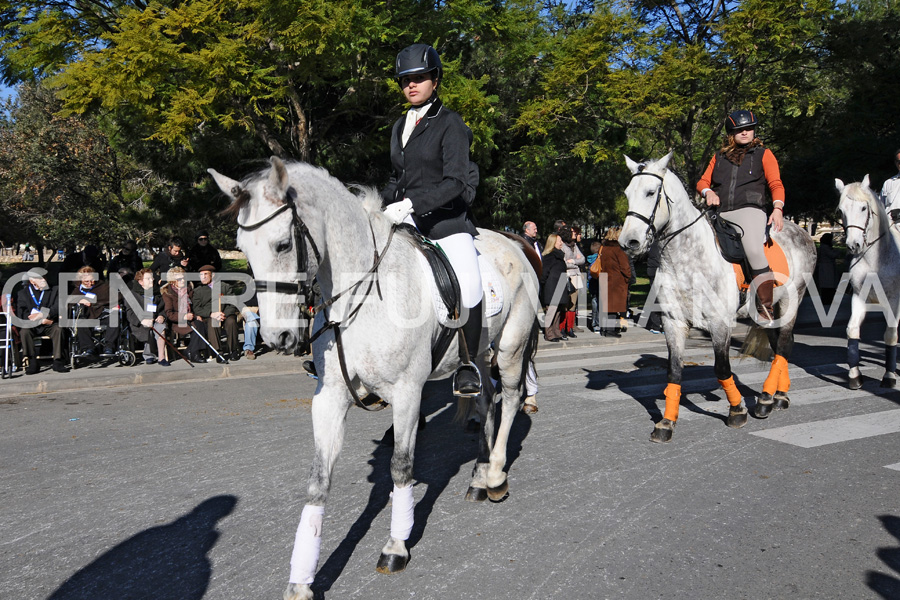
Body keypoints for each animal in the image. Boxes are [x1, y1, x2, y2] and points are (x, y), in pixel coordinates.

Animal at [207, 158, 536, 600]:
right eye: (242, 249)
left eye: (281, 245)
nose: (278, 338)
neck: (360, 290)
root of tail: (515, 243)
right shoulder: (329, 397)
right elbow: (318, 481)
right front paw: (301, 579)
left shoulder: (408, 393)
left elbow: (400, 467)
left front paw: (396, 546)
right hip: (480, 356)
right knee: (485, 400)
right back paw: (480, 478)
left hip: (512, 348)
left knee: (513, 397)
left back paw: (497, 474)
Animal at [624, 150, 820, 440]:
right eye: (627, 193)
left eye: (650, 192)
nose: (629, 242)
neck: (687, 258)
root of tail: (802, 231)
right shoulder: (673, 322)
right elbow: (674, 371)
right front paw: (666, 422)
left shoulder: (719, 324)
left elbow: (722, 368)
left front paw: (737, 411)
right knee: (780, 345)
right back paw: (777, 396)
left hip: (791, 300)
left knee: (784, 344)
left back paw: (765, 400)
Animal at [832, 176, 896, 386]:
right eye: (841, 210)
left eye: (863, 208)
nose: (853, 245)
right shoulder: (859, 296)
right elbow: (852, 330)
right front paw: (855, 376)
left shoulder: (894, 300)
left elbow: (890, 334)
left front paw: (889, 376)